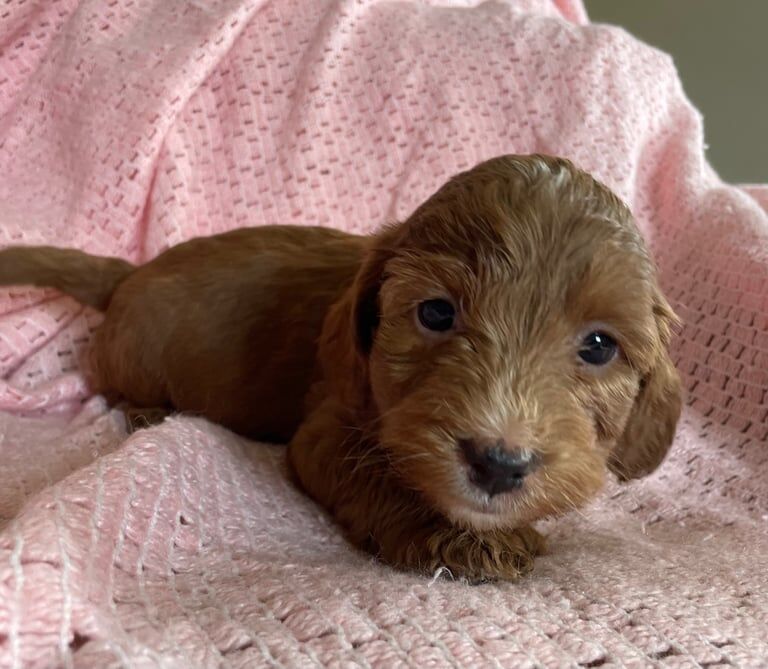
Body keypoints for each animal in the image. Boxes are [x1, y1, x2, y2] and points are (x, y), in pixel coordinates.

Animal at [0, 155, 680, 580]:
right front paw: (462, 541)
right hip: (135, 354)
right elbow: (379, 479)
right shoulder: (327, 426)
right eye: (436, 312)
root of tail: (132, 272)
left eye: (599, 346)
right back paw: (147, 411)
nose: (497, 462)